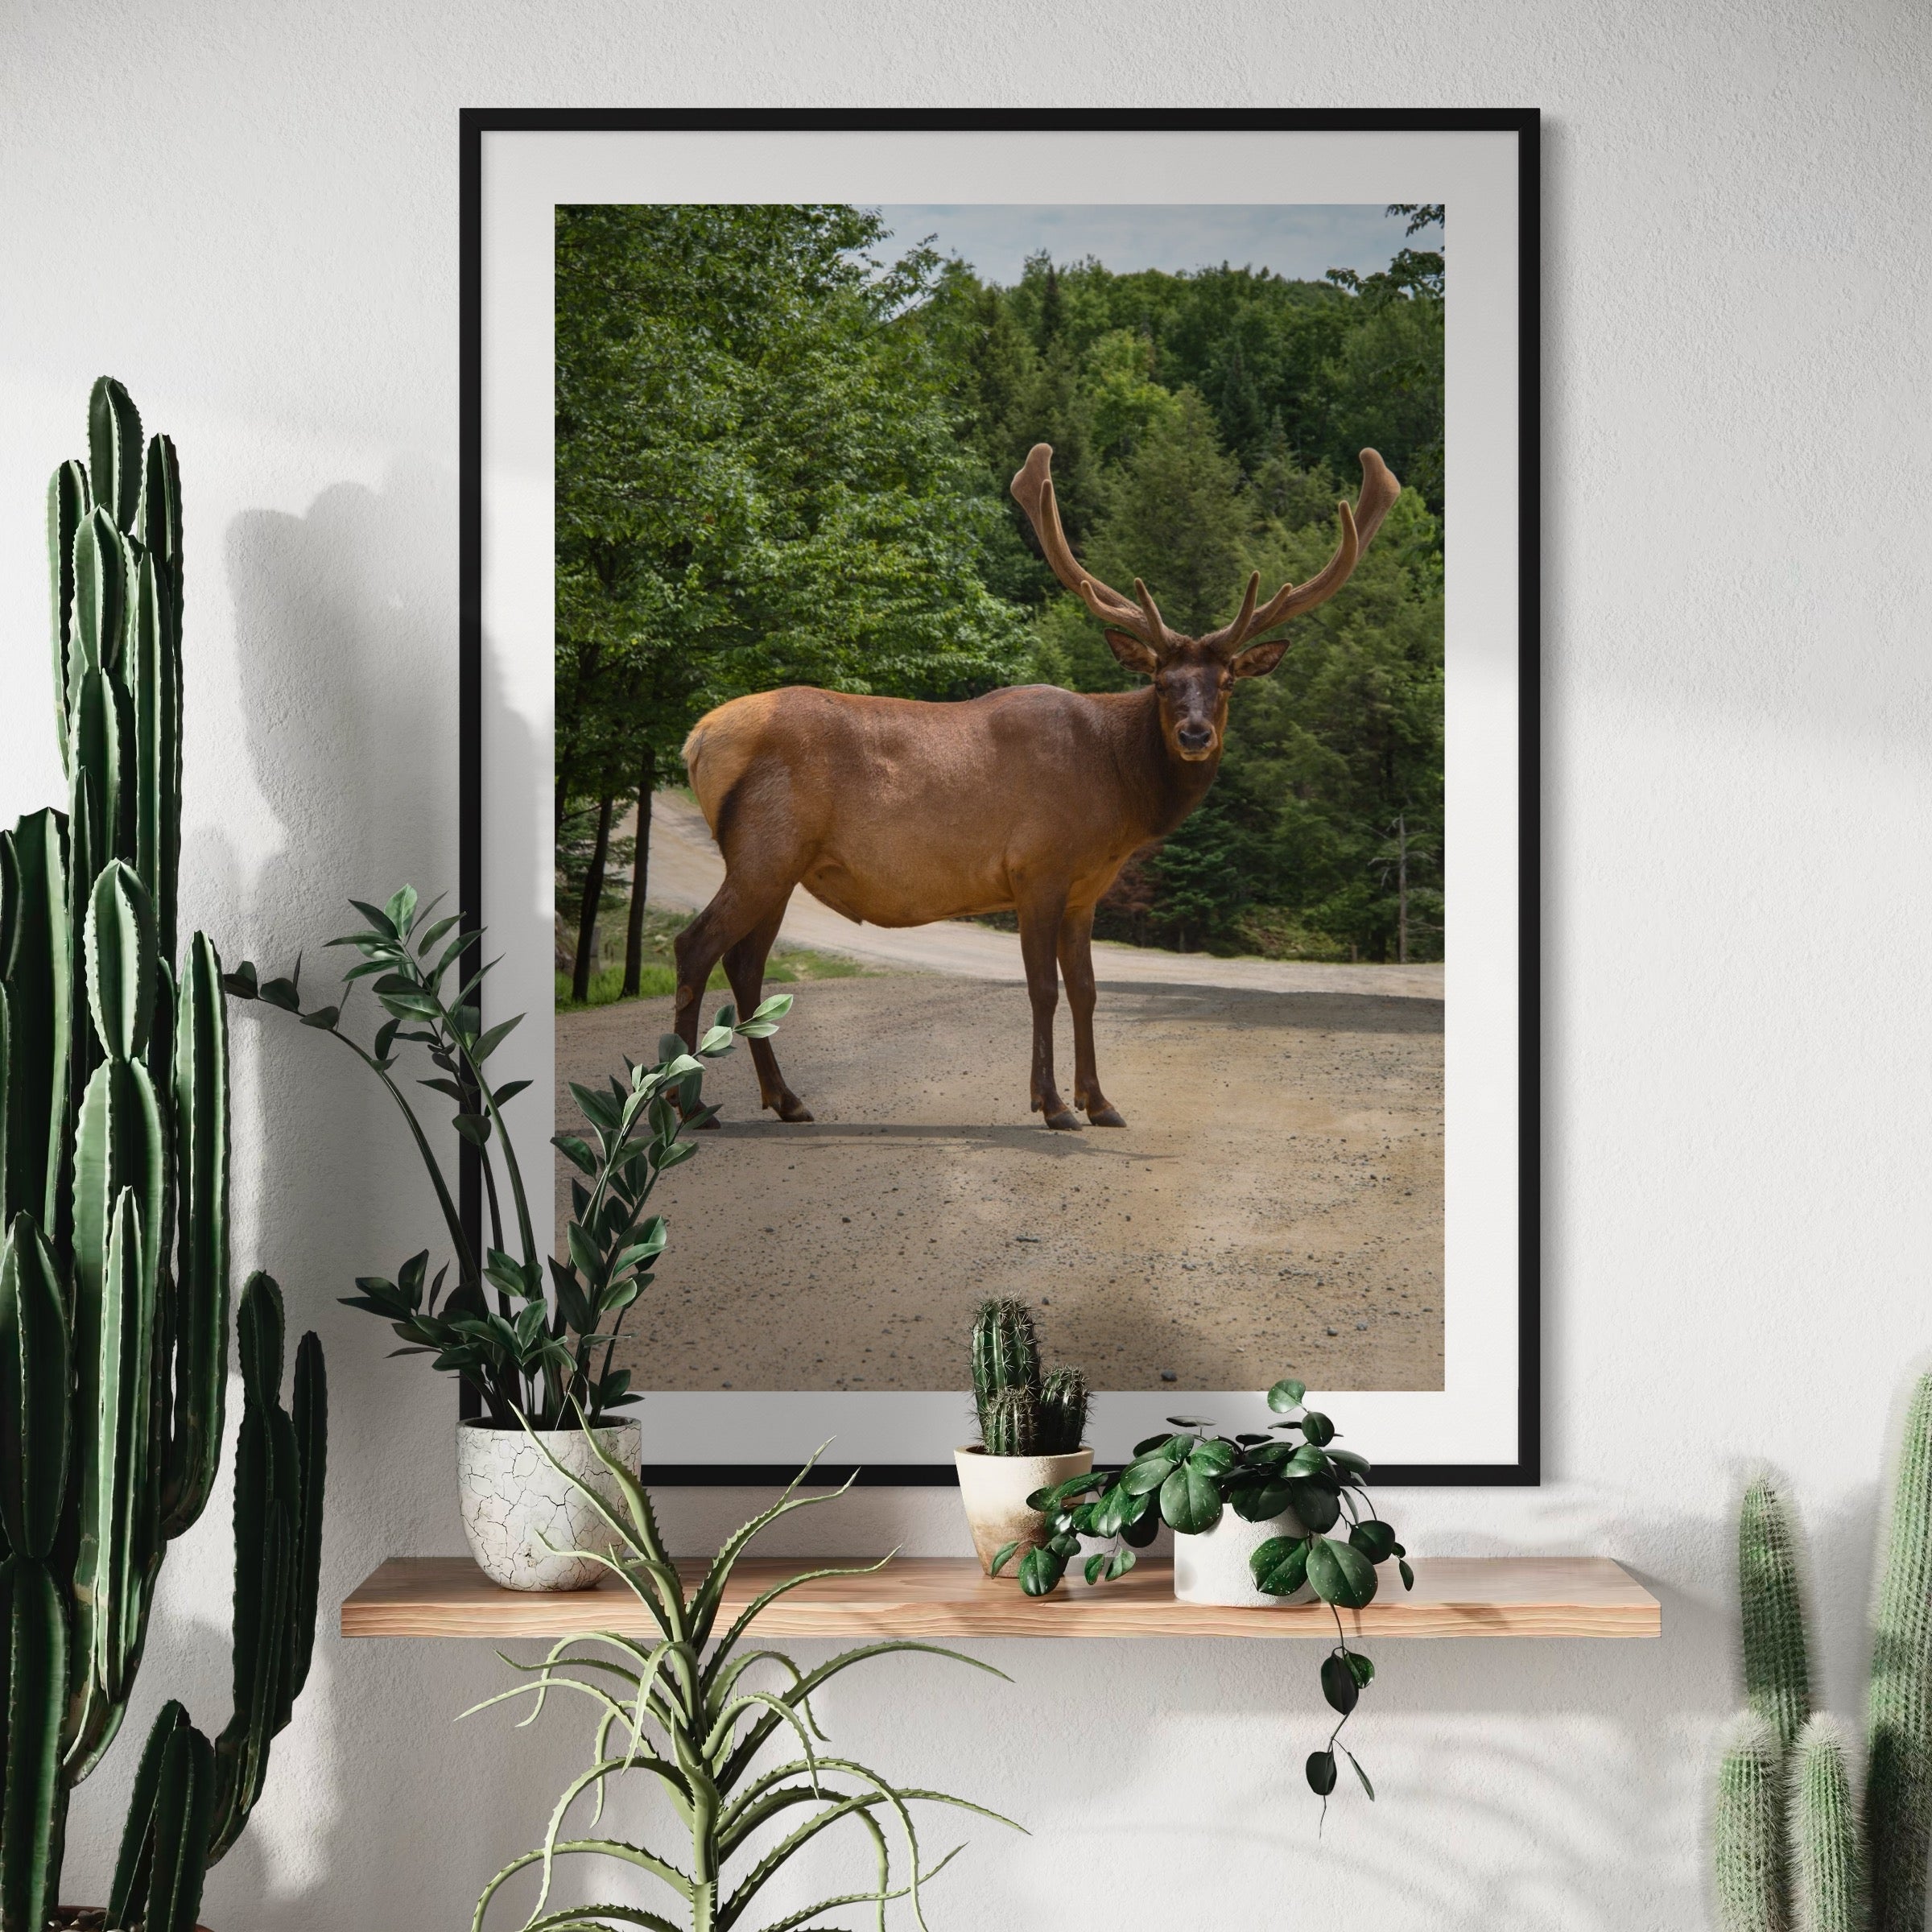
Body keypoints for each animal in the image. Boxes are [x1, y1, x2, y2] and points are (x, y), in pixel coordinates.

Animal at [671, 442, 1401, 1129]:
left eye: (1225, 684)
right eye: (1161, 681)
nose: (1195, 734)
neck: (1118, 795)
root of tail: (698, 738)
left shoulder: (1086, 890)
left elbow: (1086, 988)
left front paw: (1101, 1101)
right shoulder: (1036, 868)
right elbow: (1043, 989)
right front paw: (1052, 1104)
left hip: (781, 863)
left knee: (746, 964)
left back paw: (786, 1099)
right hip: (765, 848)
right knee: (695, 946)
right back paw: (685, 1103)